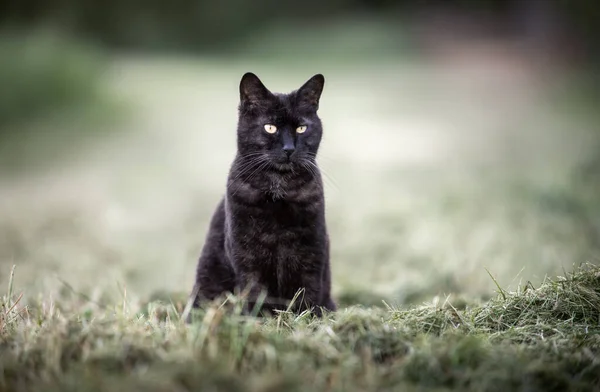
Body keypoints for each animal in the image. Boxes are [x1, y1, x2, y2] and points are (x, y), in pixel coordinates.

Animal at [188, 72, 336, 318]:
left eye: (301, 129)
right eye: (270, 128)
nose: (288, 149)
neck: (279, 190)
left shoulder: (311, 252)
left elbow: (308, 294)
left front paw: (307, 322)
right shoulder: (247, 258)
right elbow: (256, 296)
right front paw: (259, 321)